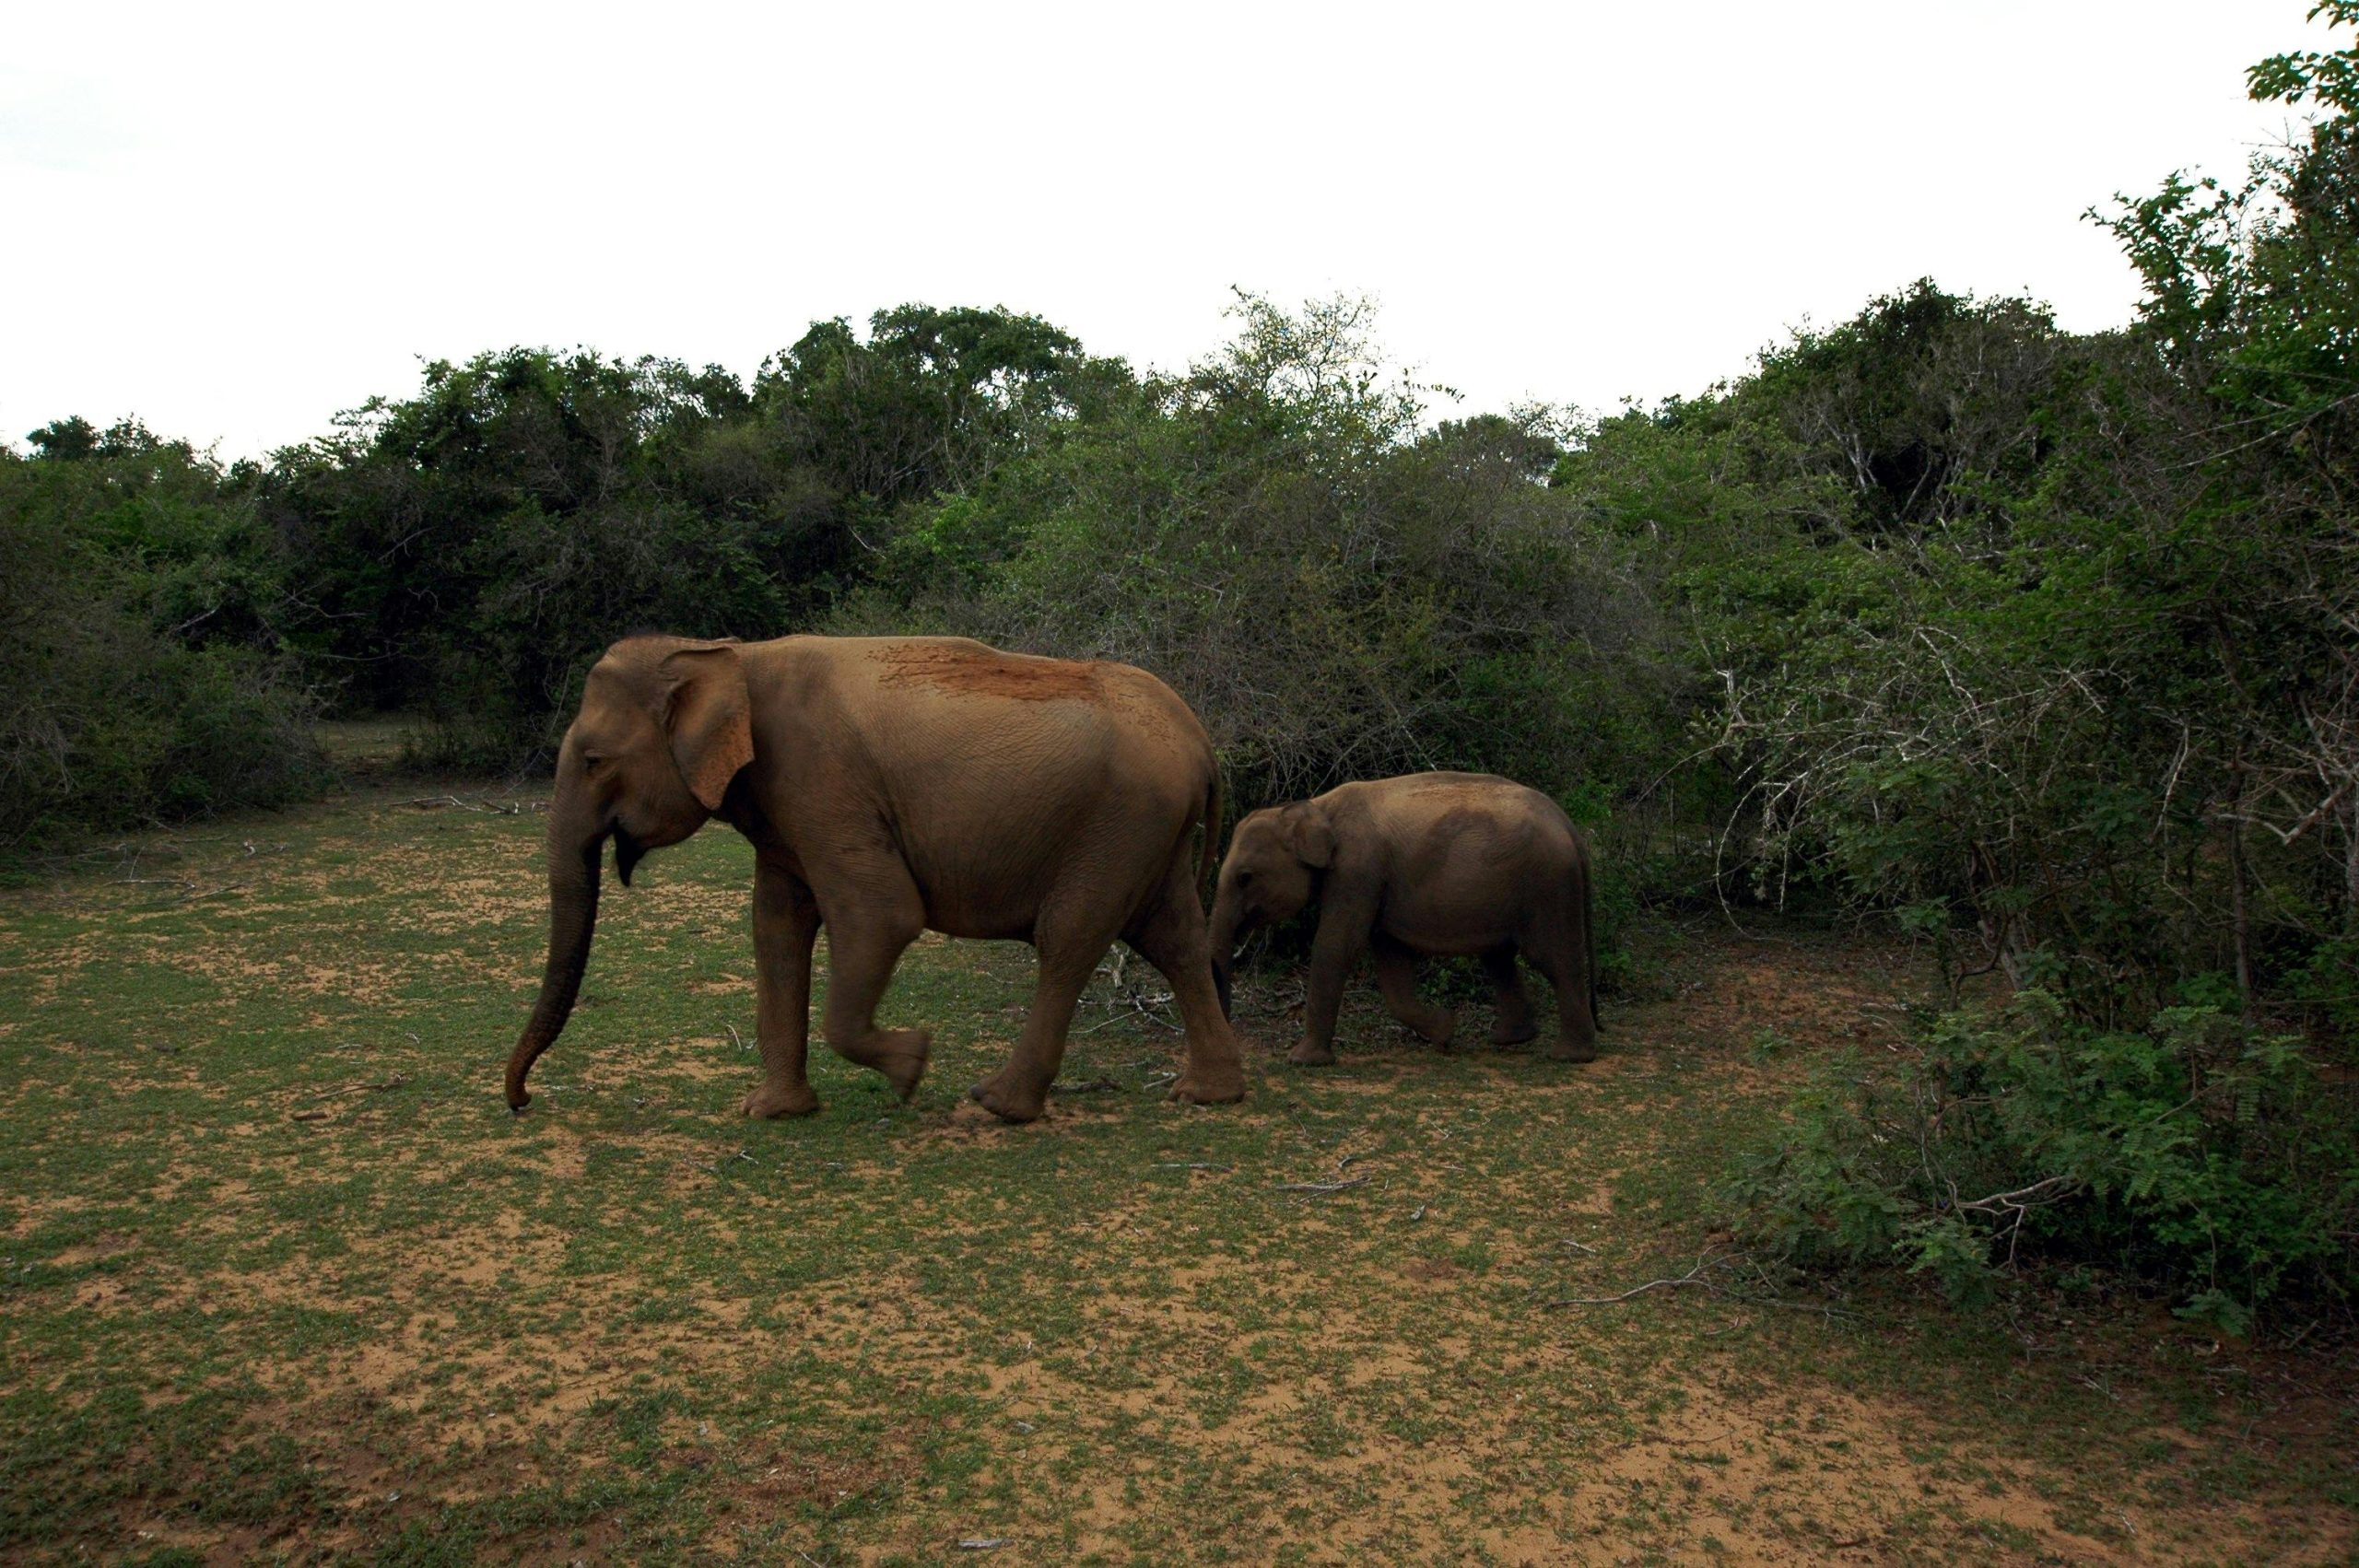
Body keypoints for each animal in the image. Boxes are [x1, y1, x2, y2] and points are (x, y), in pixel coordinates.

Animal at [505, 633, 1247, 1124]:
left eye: (594, 760)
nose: (522, 1102)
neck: (731, 656)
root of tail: (1200, 740)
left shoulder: (821, 782)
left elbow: (881, 914)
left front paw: (912, 1067)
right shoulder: (786, 809)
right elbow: (775, 927)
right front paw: (772, 1111)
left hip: (1118, 824)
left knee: (1069, 940)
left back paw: (994, 1105)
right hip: (1150, 832)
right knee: (1173, 938)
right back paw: (1207, 1094)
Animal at [1207, 772, 1598, 1066]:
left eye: (1244, 878)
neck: (1314, 807)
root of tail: (1569, 826)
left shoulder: (1358, 869)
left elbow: (1338, 945)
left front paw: (1302, 1061)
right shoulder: (1375, 882)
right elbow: (1391, 961)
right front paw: (1445, 1031)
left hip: (1548, 884)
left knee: (1552, 958)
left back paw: (1569, 1056)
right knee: (1498, 957)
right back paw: (1509, 1039)